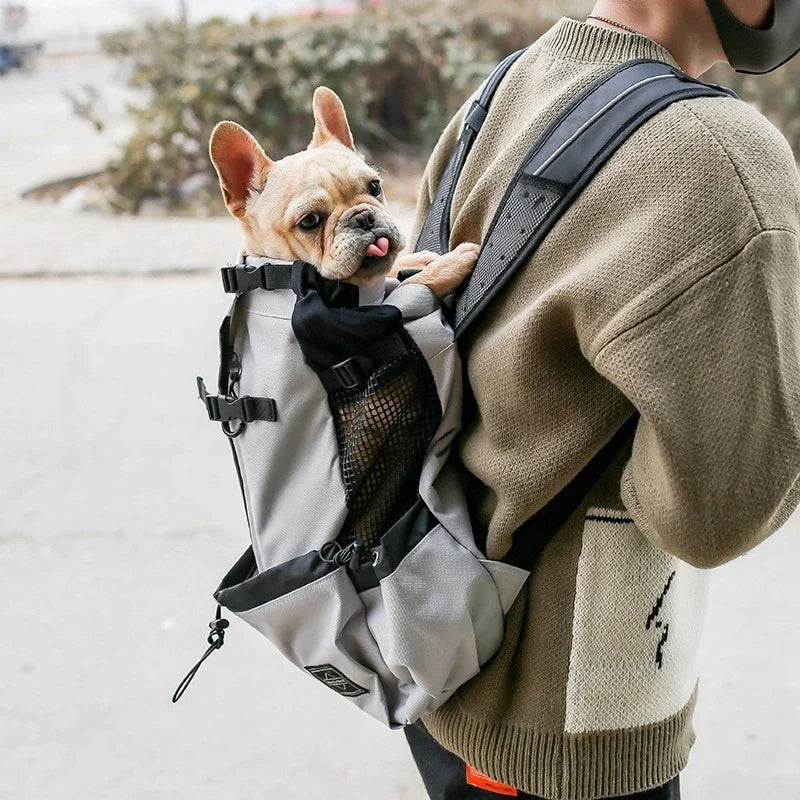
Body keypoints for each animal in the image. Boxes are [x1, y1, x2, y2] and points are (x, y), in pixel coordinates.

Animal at [209, 86, 478, 300]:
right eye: (309, 221)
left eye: (375, 187)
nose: (364, 218)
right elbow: (412, 285)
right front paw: (451, 263)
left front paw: (414, 260)